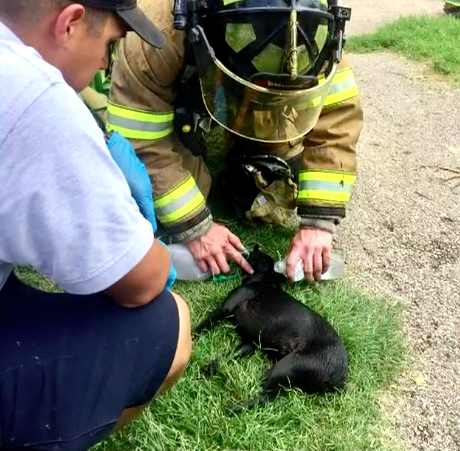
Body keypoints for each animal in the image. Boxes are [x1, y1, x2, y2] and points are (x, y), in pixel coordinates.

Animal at [194, 247, 348, 414]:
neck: (264, 279)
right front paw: (210, 368)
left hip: (287, 365)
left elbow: (201, 327)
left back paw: (233, 409)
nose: (251, 248)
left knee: (266, 399)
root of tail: (339, 376)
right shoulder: (250, 344)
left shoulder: (224, 309)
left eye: (255, 254)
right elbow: (228, 356)